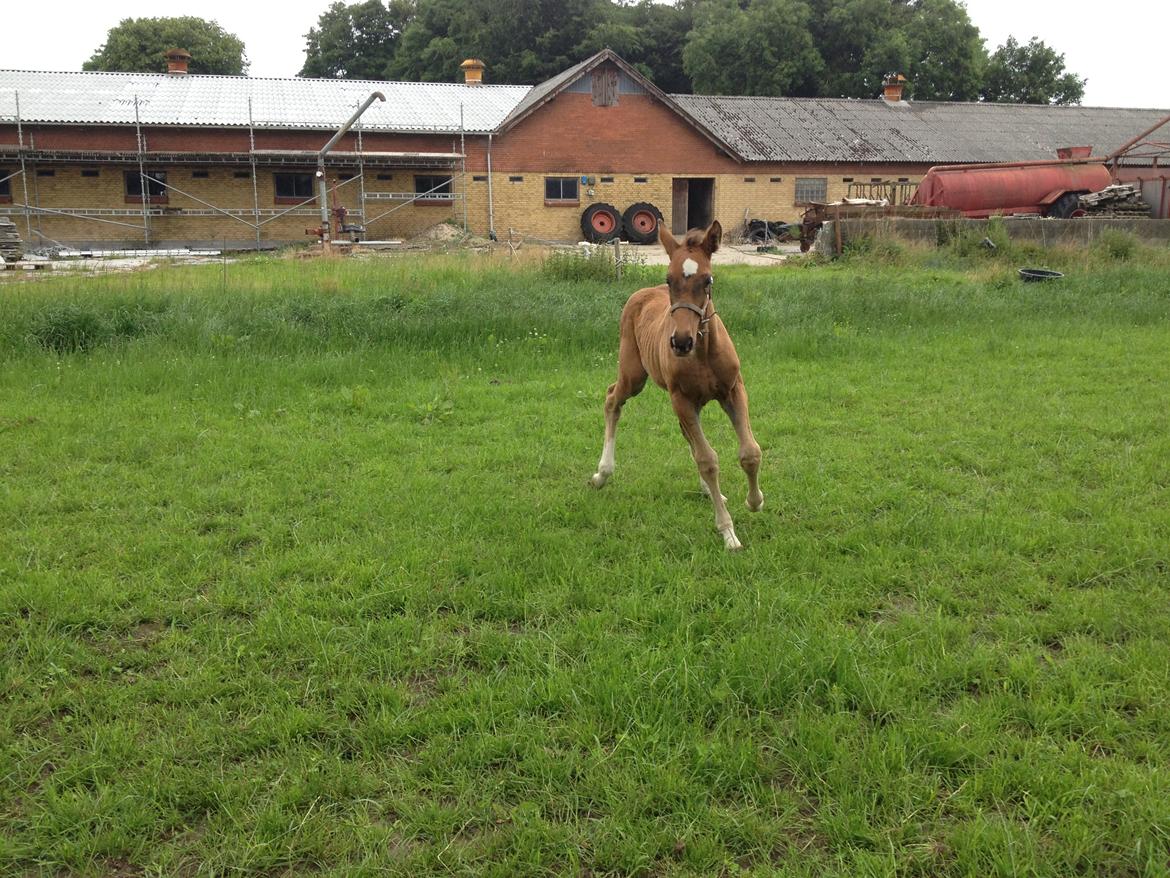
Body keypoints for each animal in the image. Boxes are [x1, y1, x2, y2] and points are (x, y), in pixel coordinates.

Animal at [589, 221, 762, 550]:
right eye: (669, 280)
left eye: (708, 280)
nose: (681, 342)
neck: (703, 352)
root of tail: (641, 293)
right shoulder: (680, 399)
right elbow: (708, 460)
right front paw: (728, 532)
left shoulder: (734, 390)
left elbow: (749, 451)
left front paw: (754, 501)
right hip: (634, 376)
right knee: (612, 398)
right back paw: (602, 474)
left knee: (688, 437)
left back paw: (711, 491)